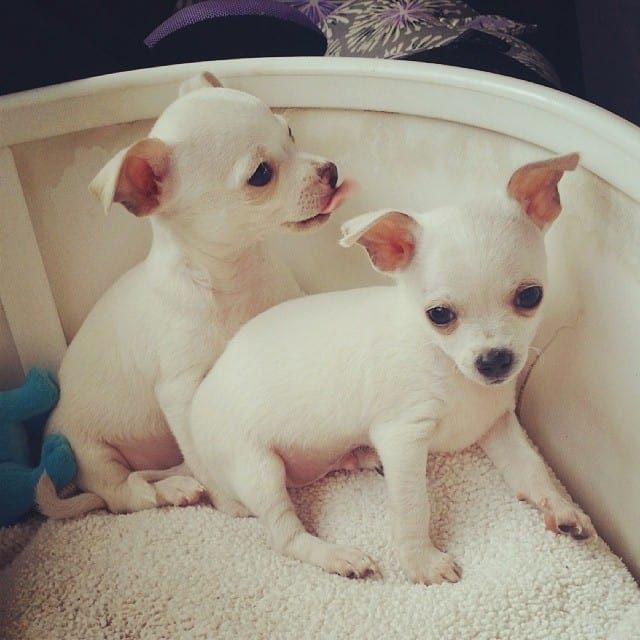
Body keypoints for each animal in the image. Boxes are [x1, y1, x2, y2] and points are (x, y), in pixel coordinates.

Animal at [188, 152, 596, 584]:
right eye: (439, 315)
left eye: (531, 296)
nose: (494, 360)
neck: (449, 368)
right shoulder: (403, 436)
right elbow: (413, 507)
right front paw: (422, 562)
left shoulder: (496, 424)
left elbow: (532, 469)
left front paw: (561, 508)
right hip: (256, 467)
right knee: (285, 536)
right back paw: (337, 556)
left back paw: (360, 457)